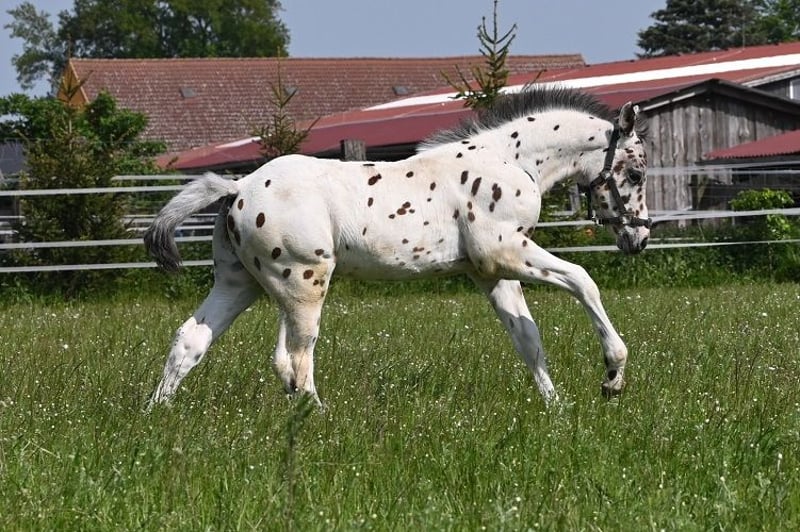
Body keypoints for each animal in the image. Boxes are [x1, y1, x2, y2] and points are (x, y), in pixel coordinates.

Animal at [144, 85, 651, 408]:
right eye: (637, 172)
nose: (640, 237)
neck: (508, 160)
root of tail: (237, 187)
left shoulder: (488, 272)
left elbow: (527, 337)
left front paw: (557, 410)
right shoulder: (505, 251)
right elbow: (583, 281)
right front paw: (612, 378)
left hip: (240, 283)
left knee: (192, 339)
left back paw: (156, 413)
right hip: (304, 283)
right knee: (295, 359)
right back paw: (319, 420)